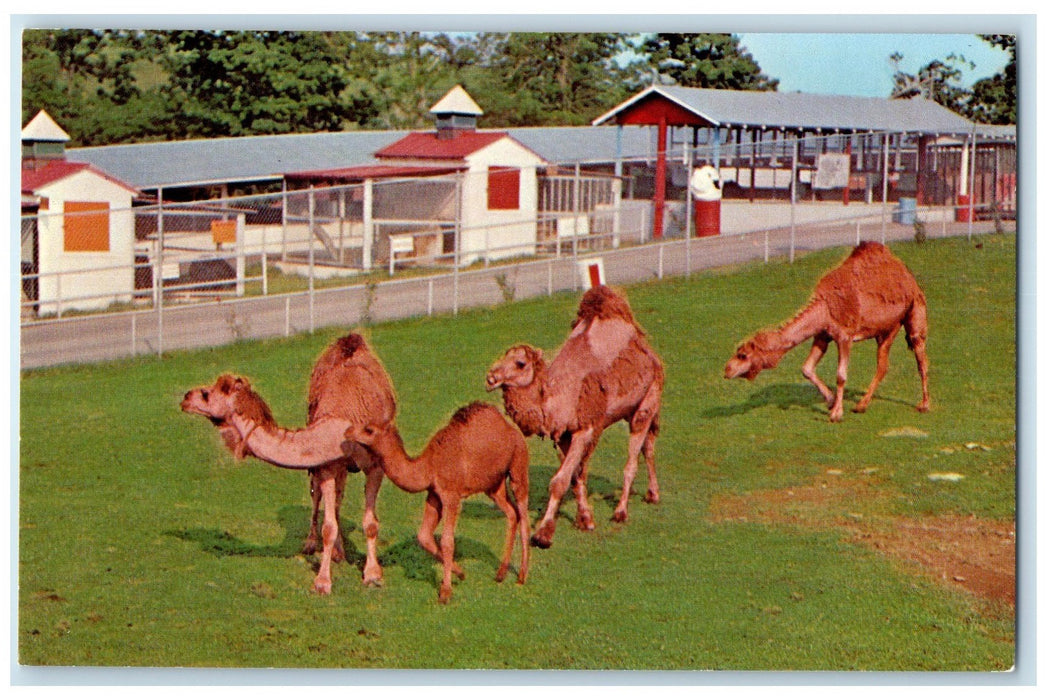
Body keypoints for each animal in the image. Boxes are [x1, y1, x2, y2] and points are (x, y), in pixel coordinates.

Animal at [180, 330, 395, 594]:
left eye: (207, 394)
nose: (186, 398)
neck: (343, 423)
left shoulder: (375, 466)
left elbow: (370, 523)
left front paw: (373, 574)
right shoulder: (327, 464)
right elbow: (328, 526)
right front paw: (323, 581)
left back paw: (338, 553)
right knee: (321, 497)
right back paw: (316, 545)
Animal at [339, 401, 527, 602]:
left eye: (369, 429)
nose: (348, 431)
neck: (429, 465)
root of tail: (511, 429)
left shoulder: (451, 495)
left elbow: (447, 541)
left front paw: (445, 592)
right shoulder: (434, 494)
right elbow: (424, 536)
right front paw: (460, 573)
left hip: (518, 460)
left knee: (523, 513)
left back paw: (522, 576)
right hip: (494, 485)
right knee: (512, 513)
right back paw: (500, 573)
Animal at [487, 282, 665, 544]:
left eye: (520, 363)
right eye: (503, 357)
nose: (491, 378)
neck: (559, 395)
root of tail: (647, 349)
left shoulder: (585, 428)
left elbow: (559, 481)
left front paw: (543, 533)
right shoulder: (563, 434)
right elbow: (576, 477)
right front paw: (586, 520)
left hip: (650, 397)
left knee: (633, 457)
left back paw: (621, 511)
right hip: (634, 407)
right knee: (648, 447)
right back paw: (652, 494)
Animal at [724, 242, 929, 422]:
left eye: (742, 355)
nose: (727, 370)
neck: (825, 308)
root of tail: (907, 274)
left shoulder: (845, 336)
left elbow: (841, 375)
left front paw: (836, 414)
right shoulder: (822, 335)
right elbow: (806, 368)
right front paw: (830, 401)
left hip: (914, 308)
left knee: (919, 355)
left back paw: (924, 405)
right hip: (888, 327)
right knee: (883, 365)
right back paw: (861, 405)